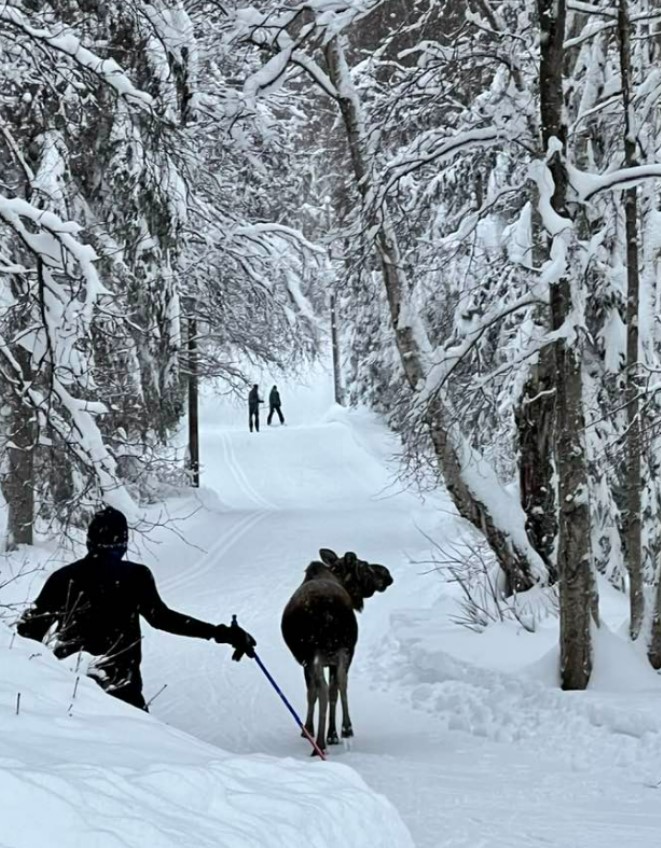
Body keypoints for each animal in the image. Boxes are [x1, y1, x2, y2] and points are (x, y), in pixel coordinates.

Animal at [280, 548, 392, 756]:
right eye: (365, 566)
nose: (387, 574)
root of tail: (328, 613)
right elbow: (332, 689)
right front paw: (331, 733)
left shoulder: (307, 661)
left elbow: (312, 693)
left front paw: (308, 729)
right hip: (344, 649)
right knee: (340, 683)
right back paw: (344, 729)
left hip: (316, 653)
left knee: (323, 689)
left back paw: (321, 743)